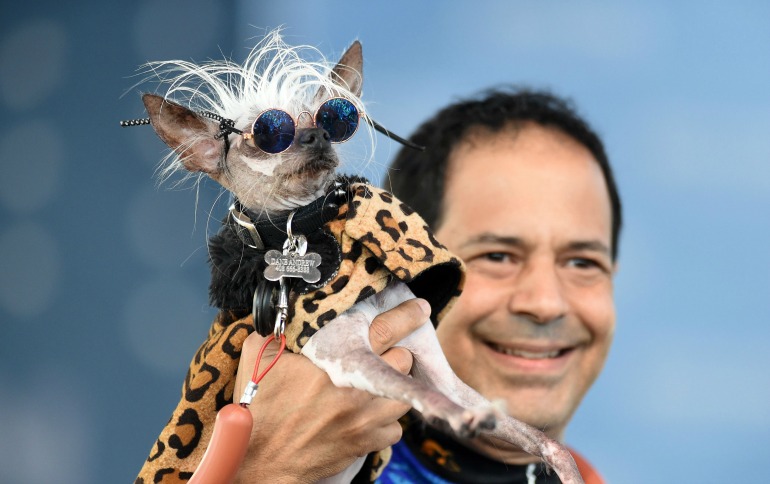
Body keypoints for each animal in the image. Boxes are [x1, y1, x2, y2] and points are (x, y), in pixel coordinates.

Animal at [127, 30, 584, 484]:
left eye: (331, 118)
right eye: (265, 136)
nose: (316, 135)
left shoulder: (438, 370)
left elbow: (531, 434)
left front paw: (563, 465)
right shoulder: (345, 354)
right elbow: (417, 390)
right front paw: (459, 418)